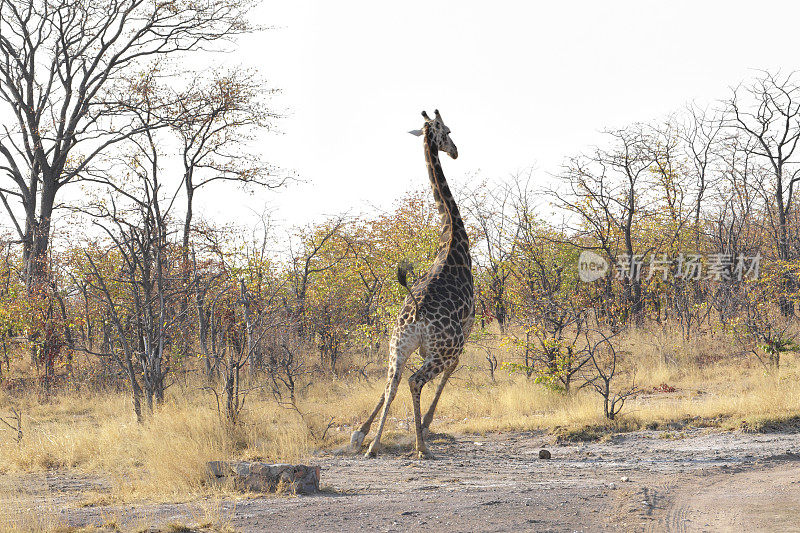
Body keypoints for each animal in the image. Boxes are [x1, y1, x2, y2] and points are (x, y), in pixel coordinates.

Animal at [352, 108, 476, 458]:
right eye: (448, 131)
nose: (456, 151)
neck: (452, 241)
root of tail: (415, 317)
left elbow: (387, 389)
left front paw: (361, 433)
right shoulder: (469, 324)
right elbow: (453, 369)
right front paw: (428, 423)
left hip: (398, 345)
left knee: (392, 383)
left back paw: (372, 445)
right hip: (442, 348)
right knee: (415, 381)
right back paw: (421, 445)